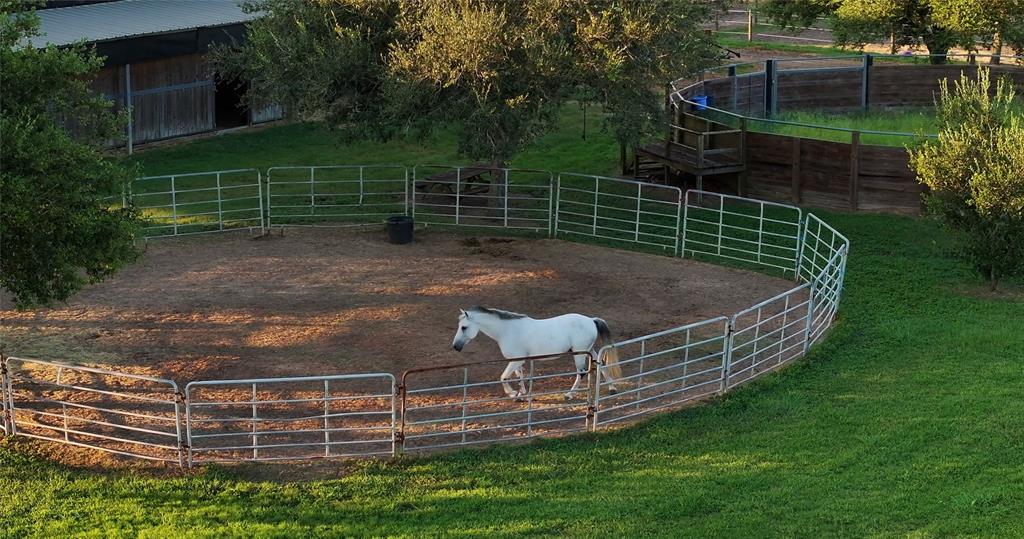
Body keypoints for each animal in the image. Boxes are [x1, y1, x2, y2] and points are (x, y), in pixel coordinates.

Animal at [450, 309, 622, 401]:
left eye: (464, 327)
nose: (456, 346)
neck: (507, 331)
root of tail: (591, 320)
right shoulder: (517, 361)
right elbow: (520, 376)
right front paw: (521, 395)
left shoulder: (515, 360)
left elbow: (503, 377)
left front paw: (512, 394)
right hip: (589, 350)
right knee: (601, 364)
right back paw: (612, 388)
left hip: (579, 353)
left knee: (581, 373)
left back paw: (569, 395)